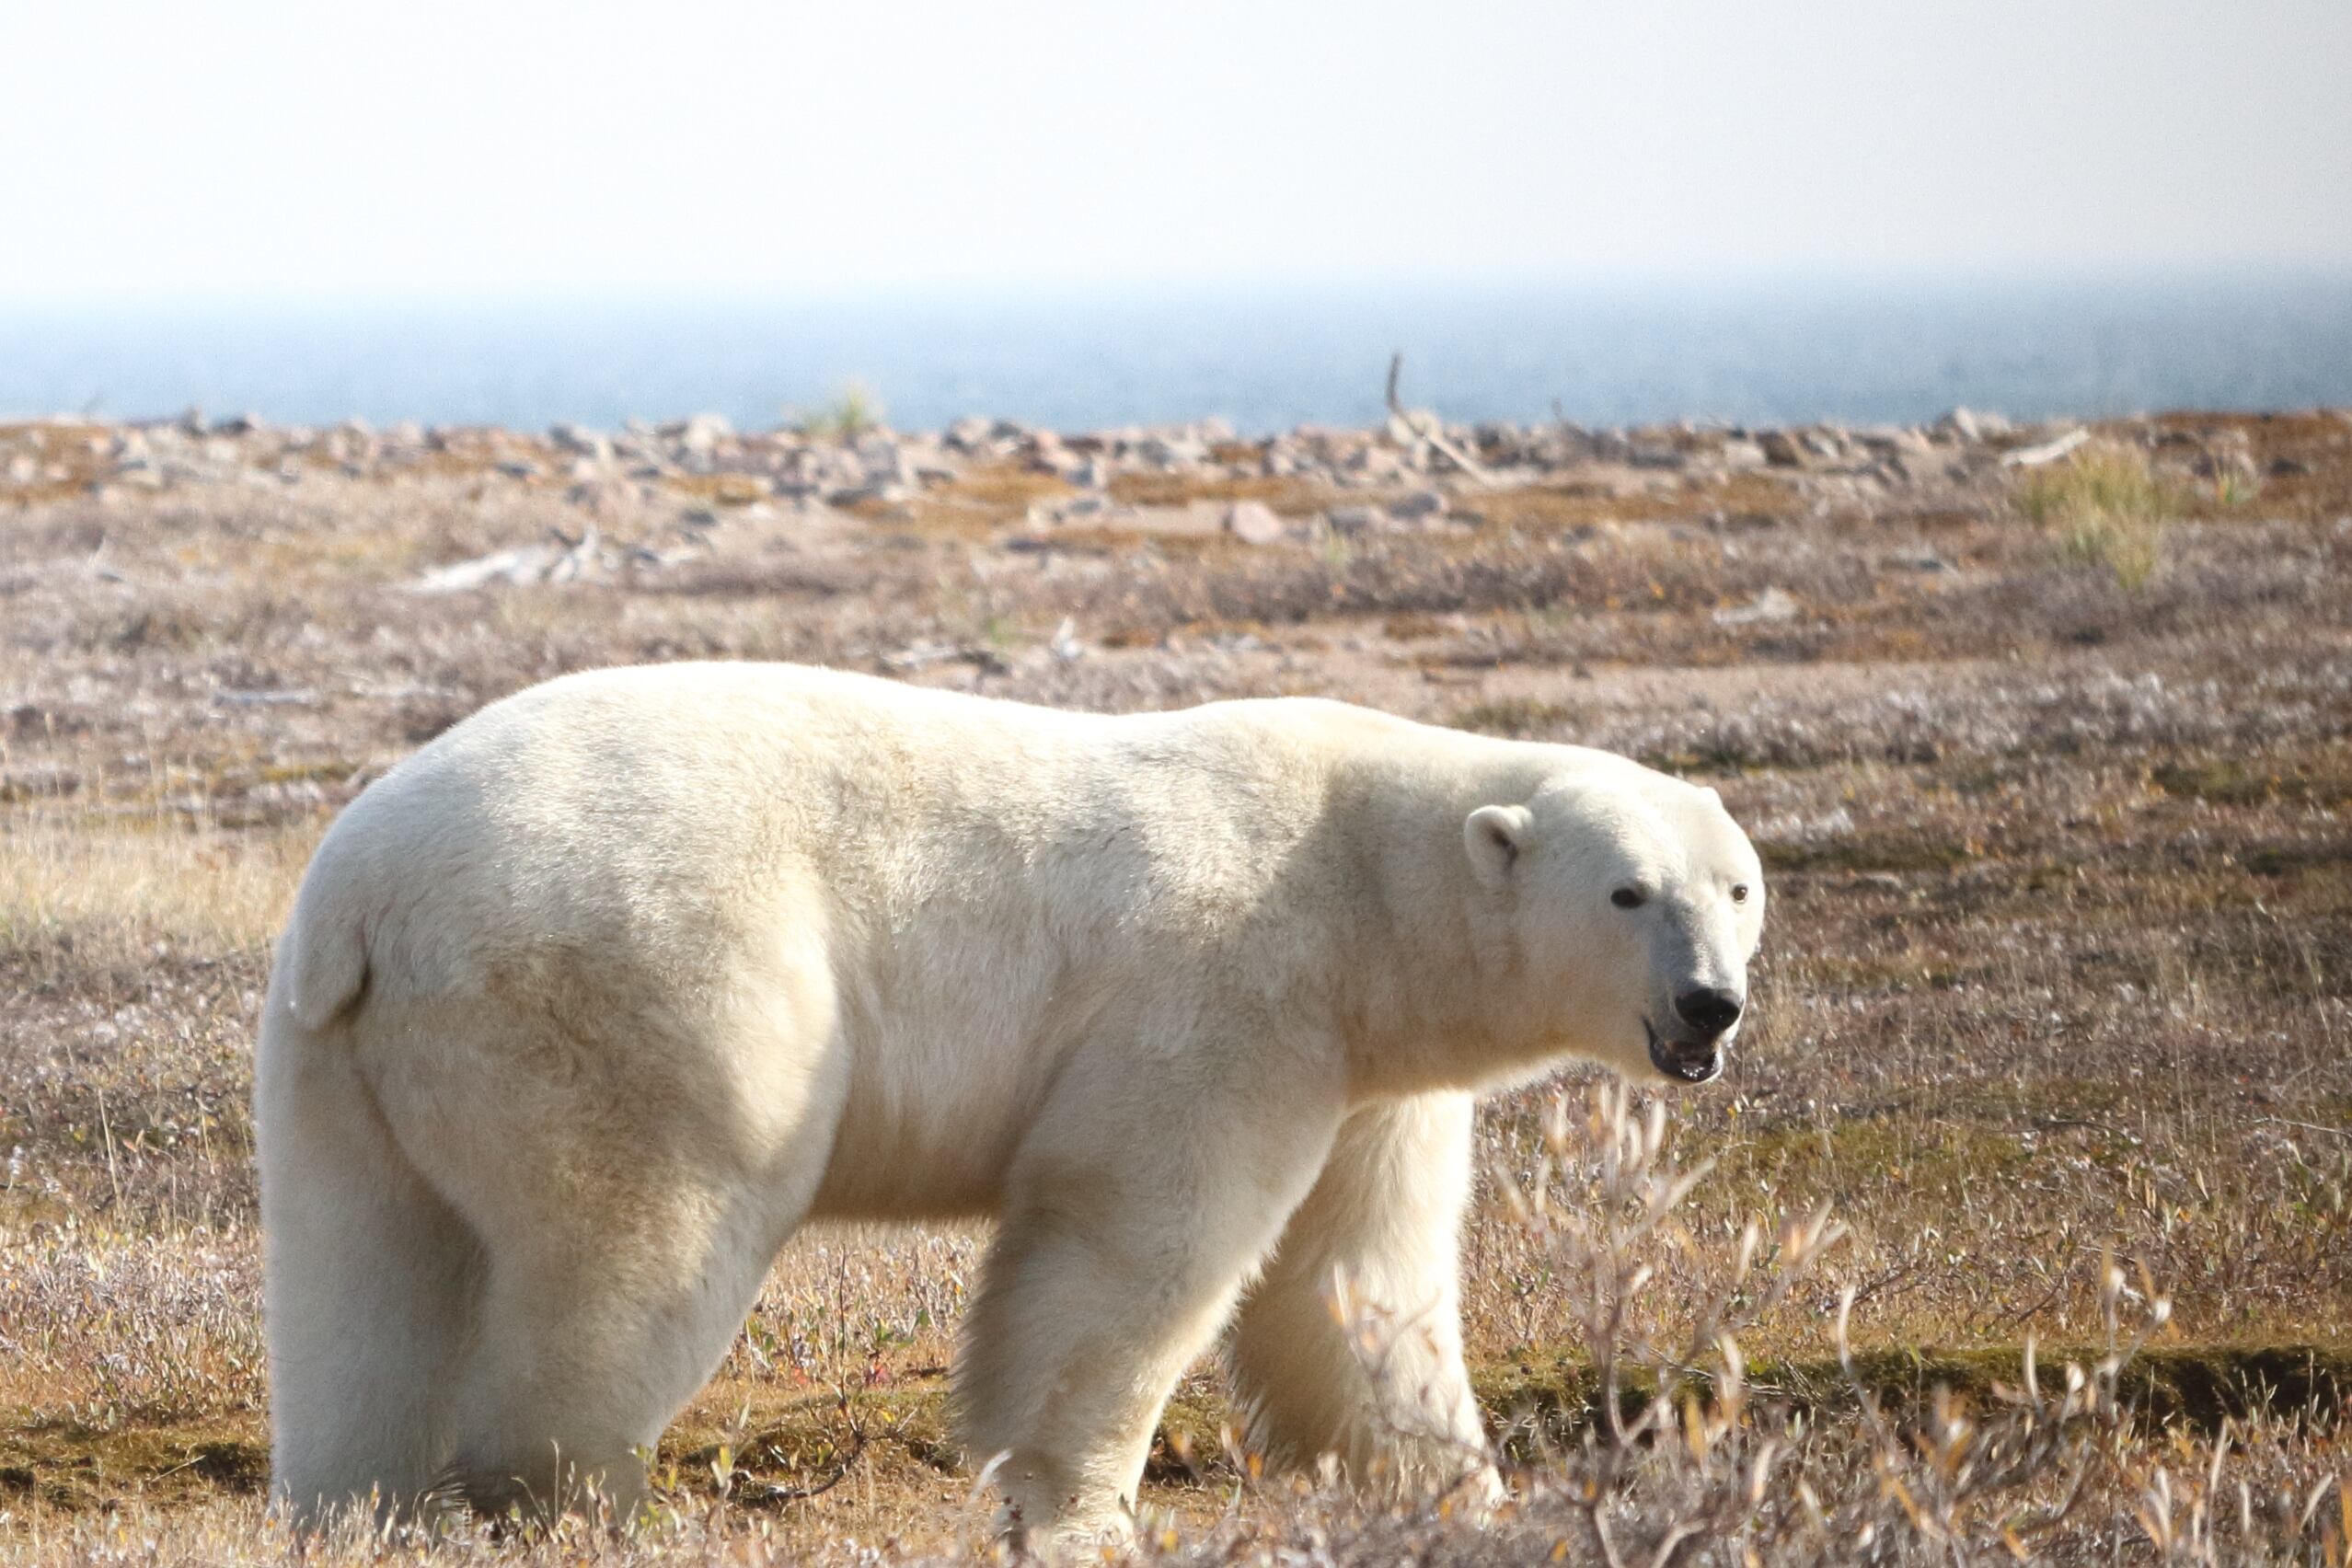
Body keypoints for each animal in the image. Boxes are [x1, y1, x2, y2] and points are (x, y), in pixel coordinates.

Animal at [257, 658, 1769, 1541]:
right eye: (1628, 891)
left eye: (1738, 886)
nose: (1711, 1005)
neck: (1360, 884)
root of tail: (367, 897)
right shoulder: (1229, 994)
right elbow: (1134, 1243)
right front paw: (1074, 1510)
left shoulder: (1370, 1074)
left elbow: (1355, 1282)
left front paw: (1457, 1492)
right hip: (636, 985)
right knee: (640, 1237)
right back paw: (585, 1500)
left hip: (339, 1062)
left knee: (366, 1281)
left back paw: (360, 1508)